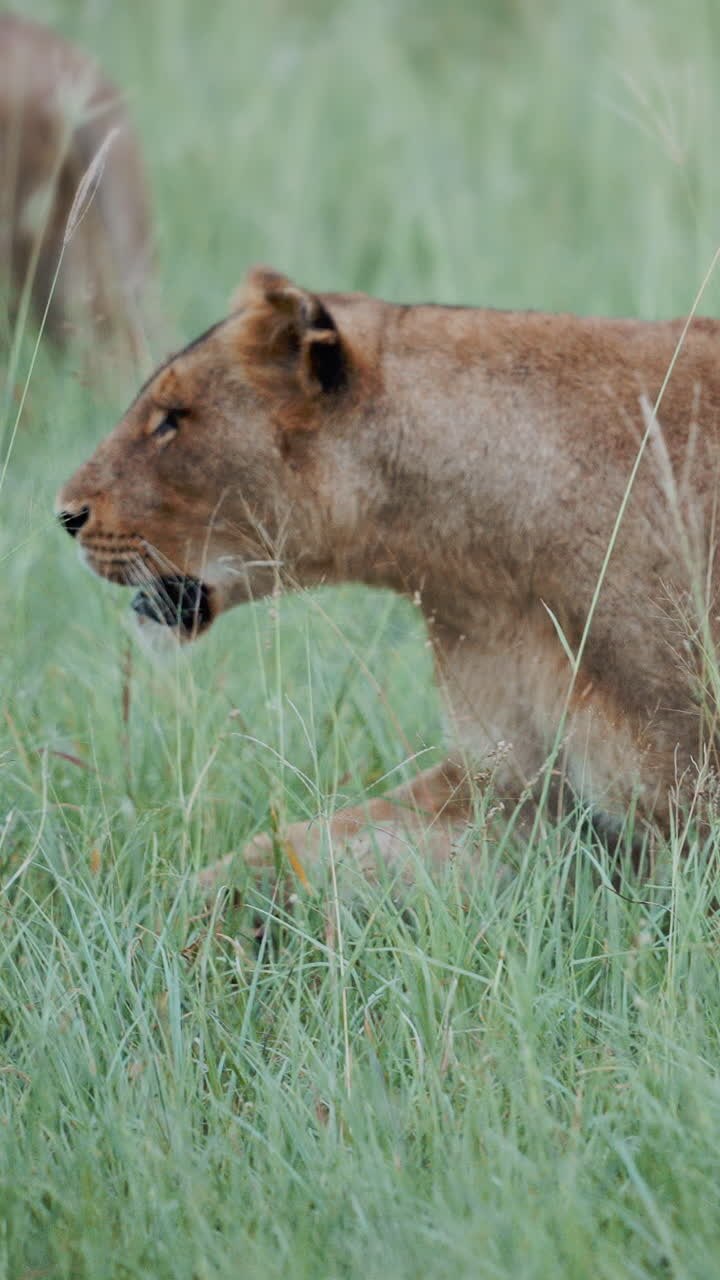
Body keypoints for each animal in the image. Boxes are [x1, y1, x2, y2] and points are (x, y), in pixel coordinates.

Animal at [55, 266, 720, 888]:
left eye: (171, 420)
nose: (64, 515)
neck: (489, 581)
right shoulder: (506, 785)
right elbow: (313, 842)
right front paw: (163, 903)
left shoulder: (688, 795)